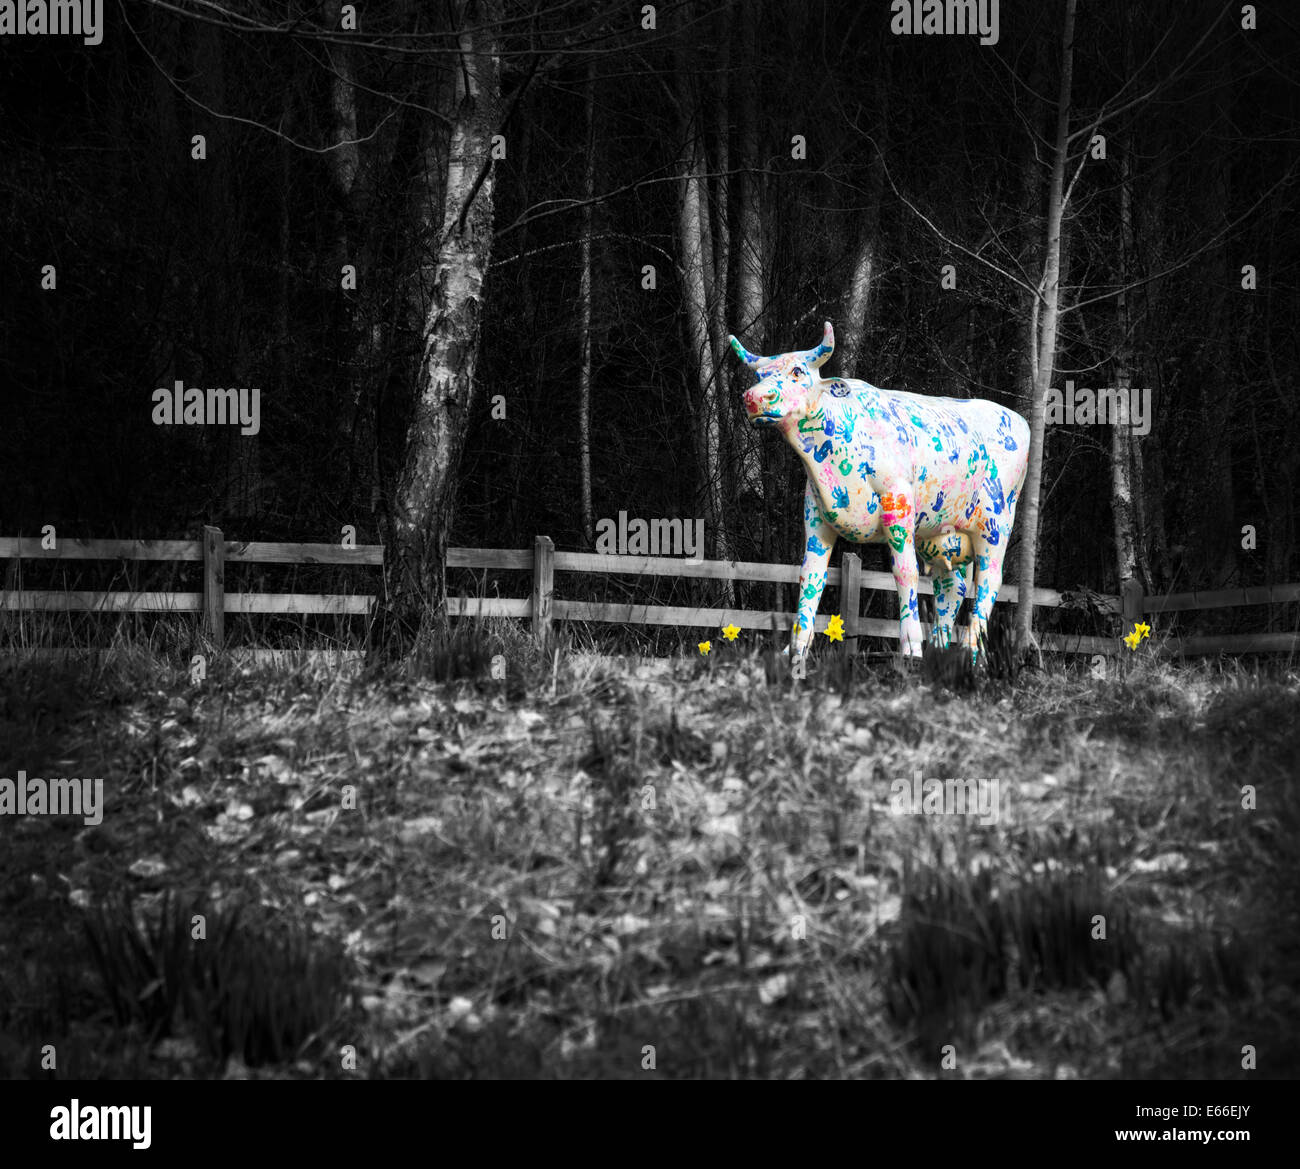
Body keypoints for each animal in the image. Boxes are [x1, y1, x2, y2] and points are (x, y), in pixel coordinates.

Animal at [728, 321, 1030, 668]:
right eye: (760, 374)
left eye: (798, 371)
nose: (754, 398)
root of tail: (1016, 418)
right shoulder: (816, 516)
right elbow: (810, 578)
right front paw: (795, 652)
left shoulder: (898, 506)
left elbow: (905, 573)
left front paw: (910, 648)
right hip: (942, 535)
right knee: (950, 589)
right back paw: (941, 655)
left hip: (995, 526)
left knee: (987, 584)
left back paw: (971, 653)